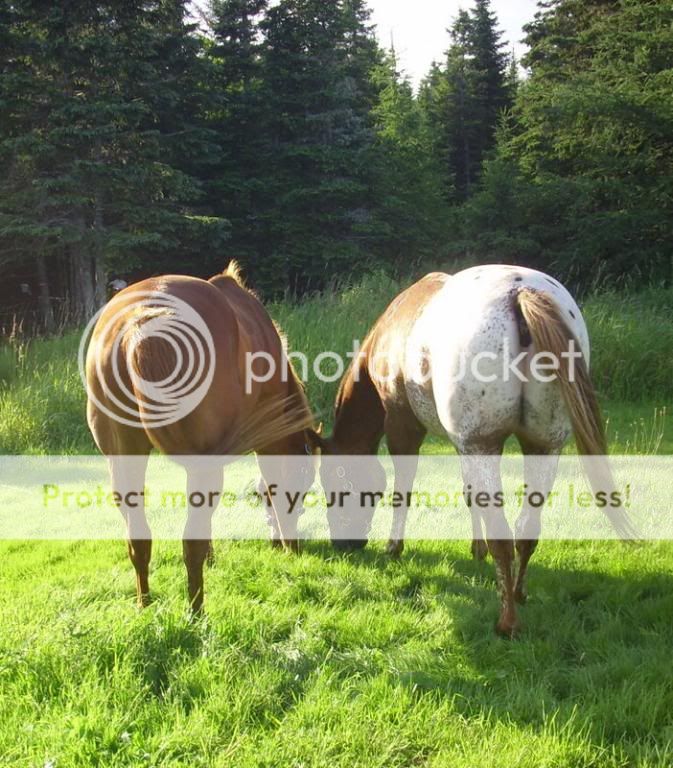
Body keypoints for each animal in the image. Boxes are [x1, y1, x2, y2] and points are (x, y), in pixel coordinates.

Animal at [85, 264, 314, 612]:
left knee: (139, 538)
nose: (292, 548)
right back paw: (196, 613)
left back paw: (145, 604)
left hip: (124, 456)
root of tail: (139, 321)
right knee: (189, 540)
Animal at [308, 264, 632, 636]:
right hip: (543, 444)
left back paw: (508, 621)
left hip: (486, 444)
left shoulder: (407, 429)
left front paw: (394, 546)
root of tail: (519, 293)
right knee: (526, 530)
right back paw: (517, 592)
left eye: (333, 486)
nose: (346, 545)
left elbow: (403, 491)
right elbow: (469, 494)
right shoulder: (463, 442)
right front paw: (476, 549)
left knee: (503, 536)